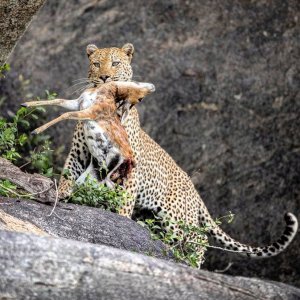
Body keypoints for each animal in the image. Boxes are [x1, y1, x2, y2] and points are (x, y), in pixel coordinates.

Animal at [58, 42, 298, 262]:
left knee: (199, 238)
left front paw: (119, 219)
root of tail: (193, 188)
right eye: (96, 64)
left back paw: (192, 262)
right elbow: (67, 174)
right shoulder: (80, 153)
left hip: (174, 215)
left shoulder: (130, 166)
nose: (105, 77)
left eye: (115, 63)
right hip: (152, 215)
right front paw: (60, 195)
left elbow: (124, 201)